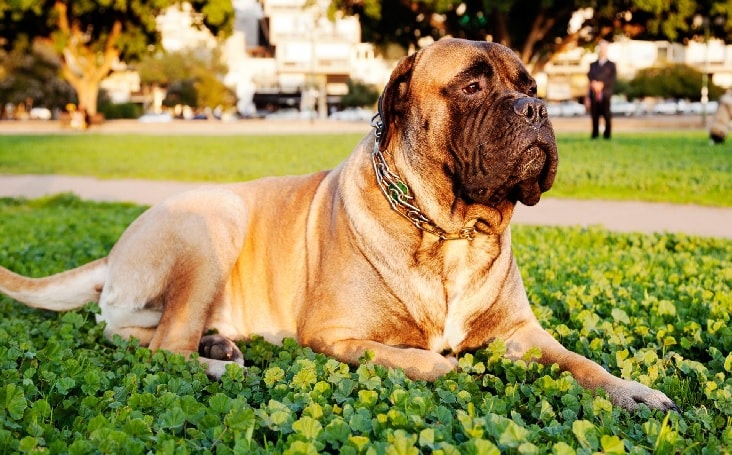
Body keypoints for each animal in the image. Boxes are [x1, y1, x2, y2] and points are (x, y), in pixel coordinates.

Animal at [0, 37, 676, 412]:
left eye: (530, 84)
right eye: (472, 86)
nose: (537, 108)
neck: (449, 230)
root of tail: (116, 253)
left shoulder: (521, 333)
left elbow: (580, 361)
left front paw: (631, 390)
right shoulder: (333, 334)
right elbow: (415, 357)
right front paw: (448, 366)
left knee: (131, 333)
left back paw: (220, 345)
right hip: (214, 221)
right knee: (165, 346)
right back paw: (219, 363)